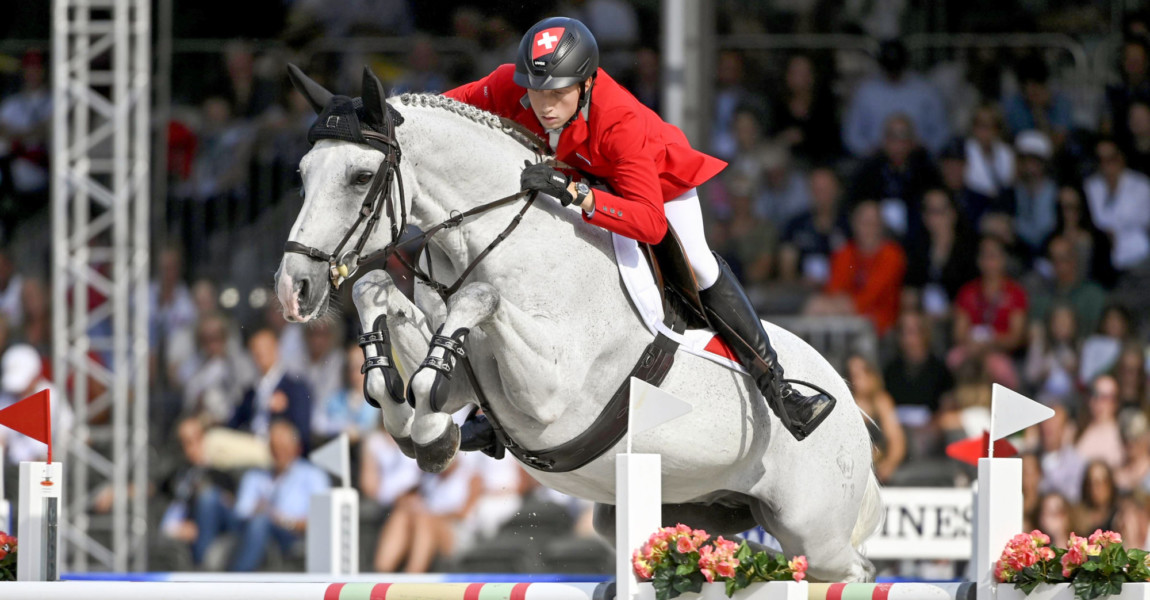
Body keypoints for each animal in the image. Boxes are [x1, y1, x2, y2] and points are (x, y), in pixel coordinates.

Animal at [276, 66, 878, 579]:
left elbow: (480, 297)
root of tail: (854, 408)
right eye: (301, 175)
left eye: (360, 177)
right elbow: (380, 296)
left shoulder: (551, 393)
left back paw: (796, 402)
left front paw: (428, 433)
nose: (292, 289)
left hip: (813, 532)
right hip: (689, 509)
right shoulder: (466, 377)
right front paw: (423, 429)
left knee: (848, 570)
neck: (500, 237)